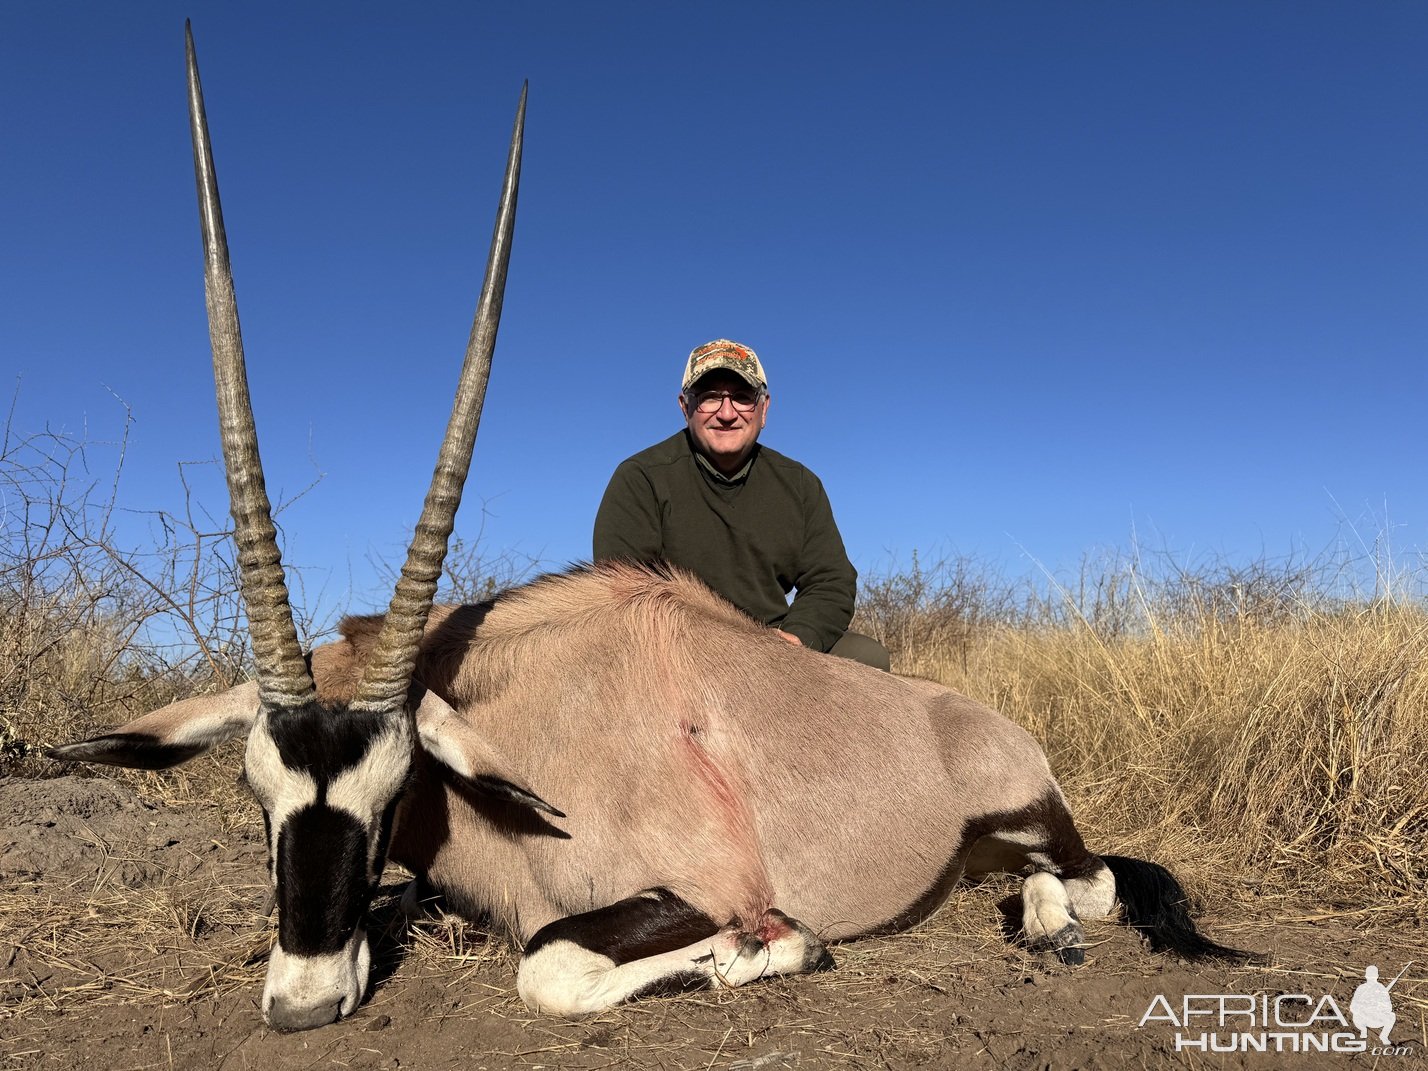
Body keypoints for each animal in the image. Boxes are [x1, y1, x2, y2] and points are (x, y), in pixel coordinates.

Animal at [44, 27, 1256, 1039]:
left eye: (394, 793)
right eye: (258, 795)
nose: (300, 1004)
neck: (532, 717)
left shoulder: (692, 887)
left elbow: (550, 964)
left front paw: (785, 947)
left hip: (1032, 810)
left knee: (1093, 877)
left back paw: (1050, 925)